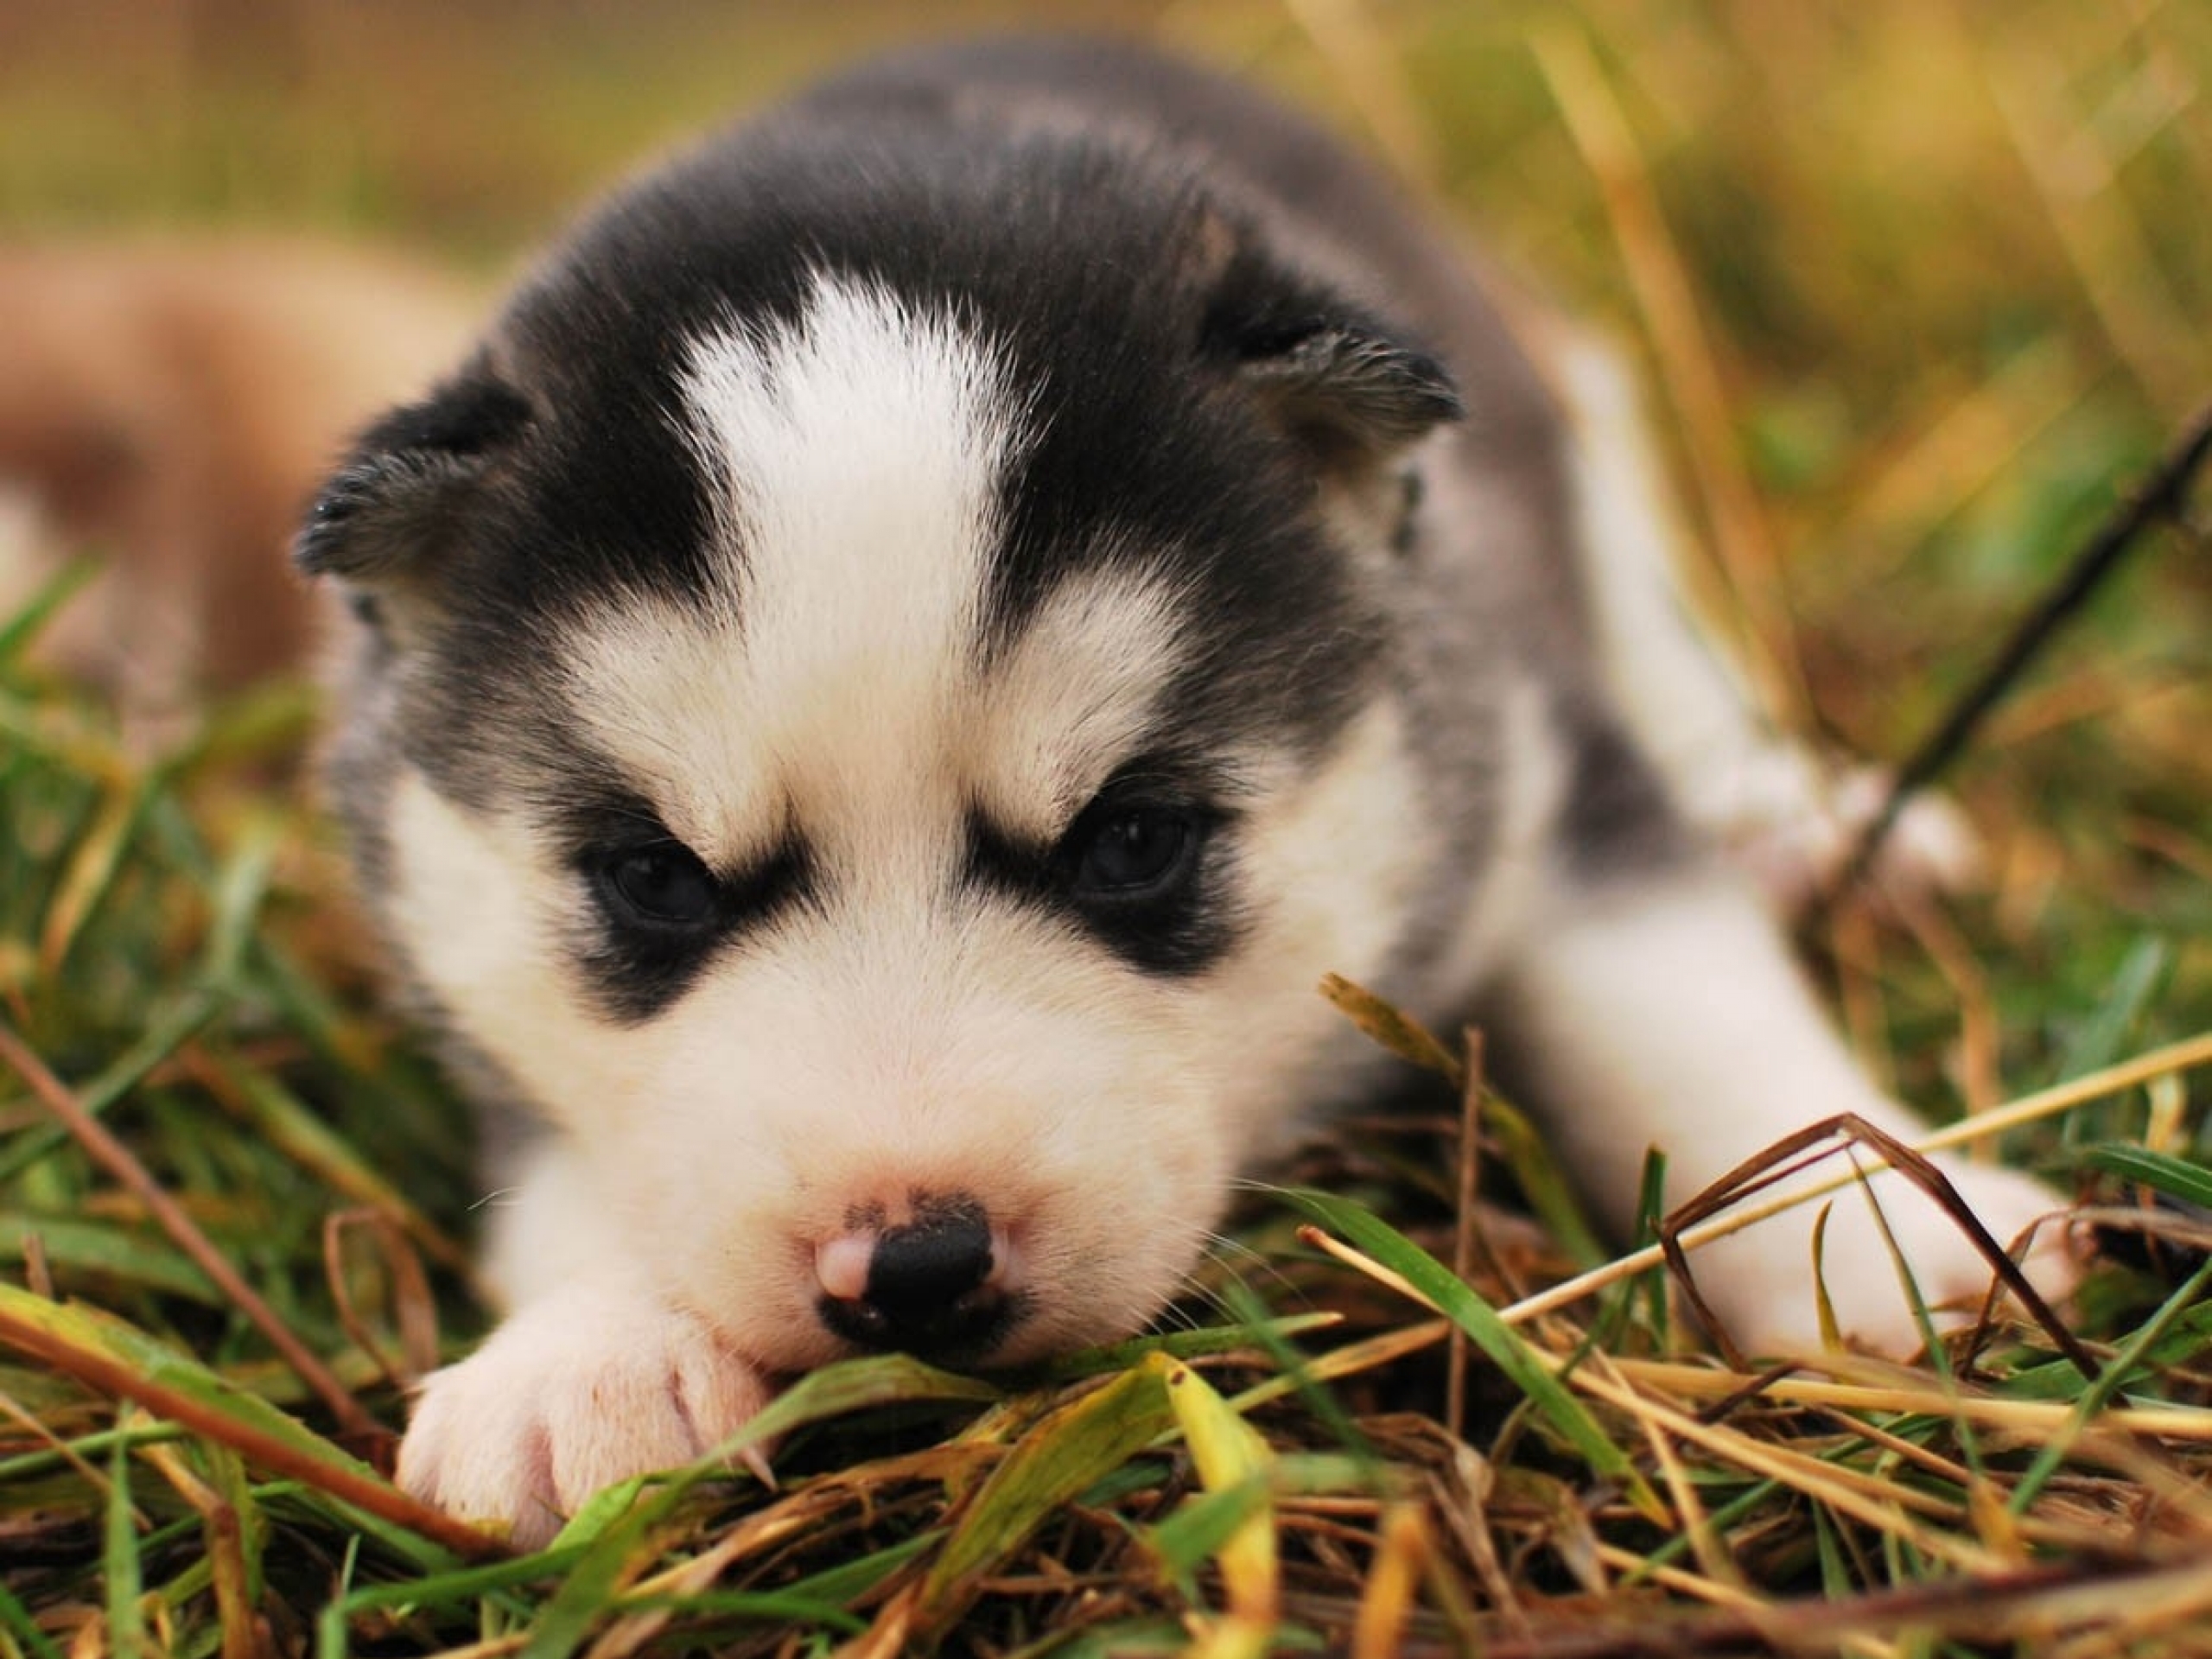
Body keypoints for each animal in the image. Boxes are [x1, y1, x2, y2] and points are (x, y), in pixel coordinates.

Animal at [294, 35, 2070, 1548]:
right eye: (656, 880)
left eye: (1133, 843)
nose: (918, 1268)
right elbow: (559, 1162)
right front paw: (580, 1355)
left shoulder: (1528, 750)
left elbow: (1687, 999)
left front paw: (1875, 1230)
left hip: (1586, 433)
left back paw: (1804, 825)